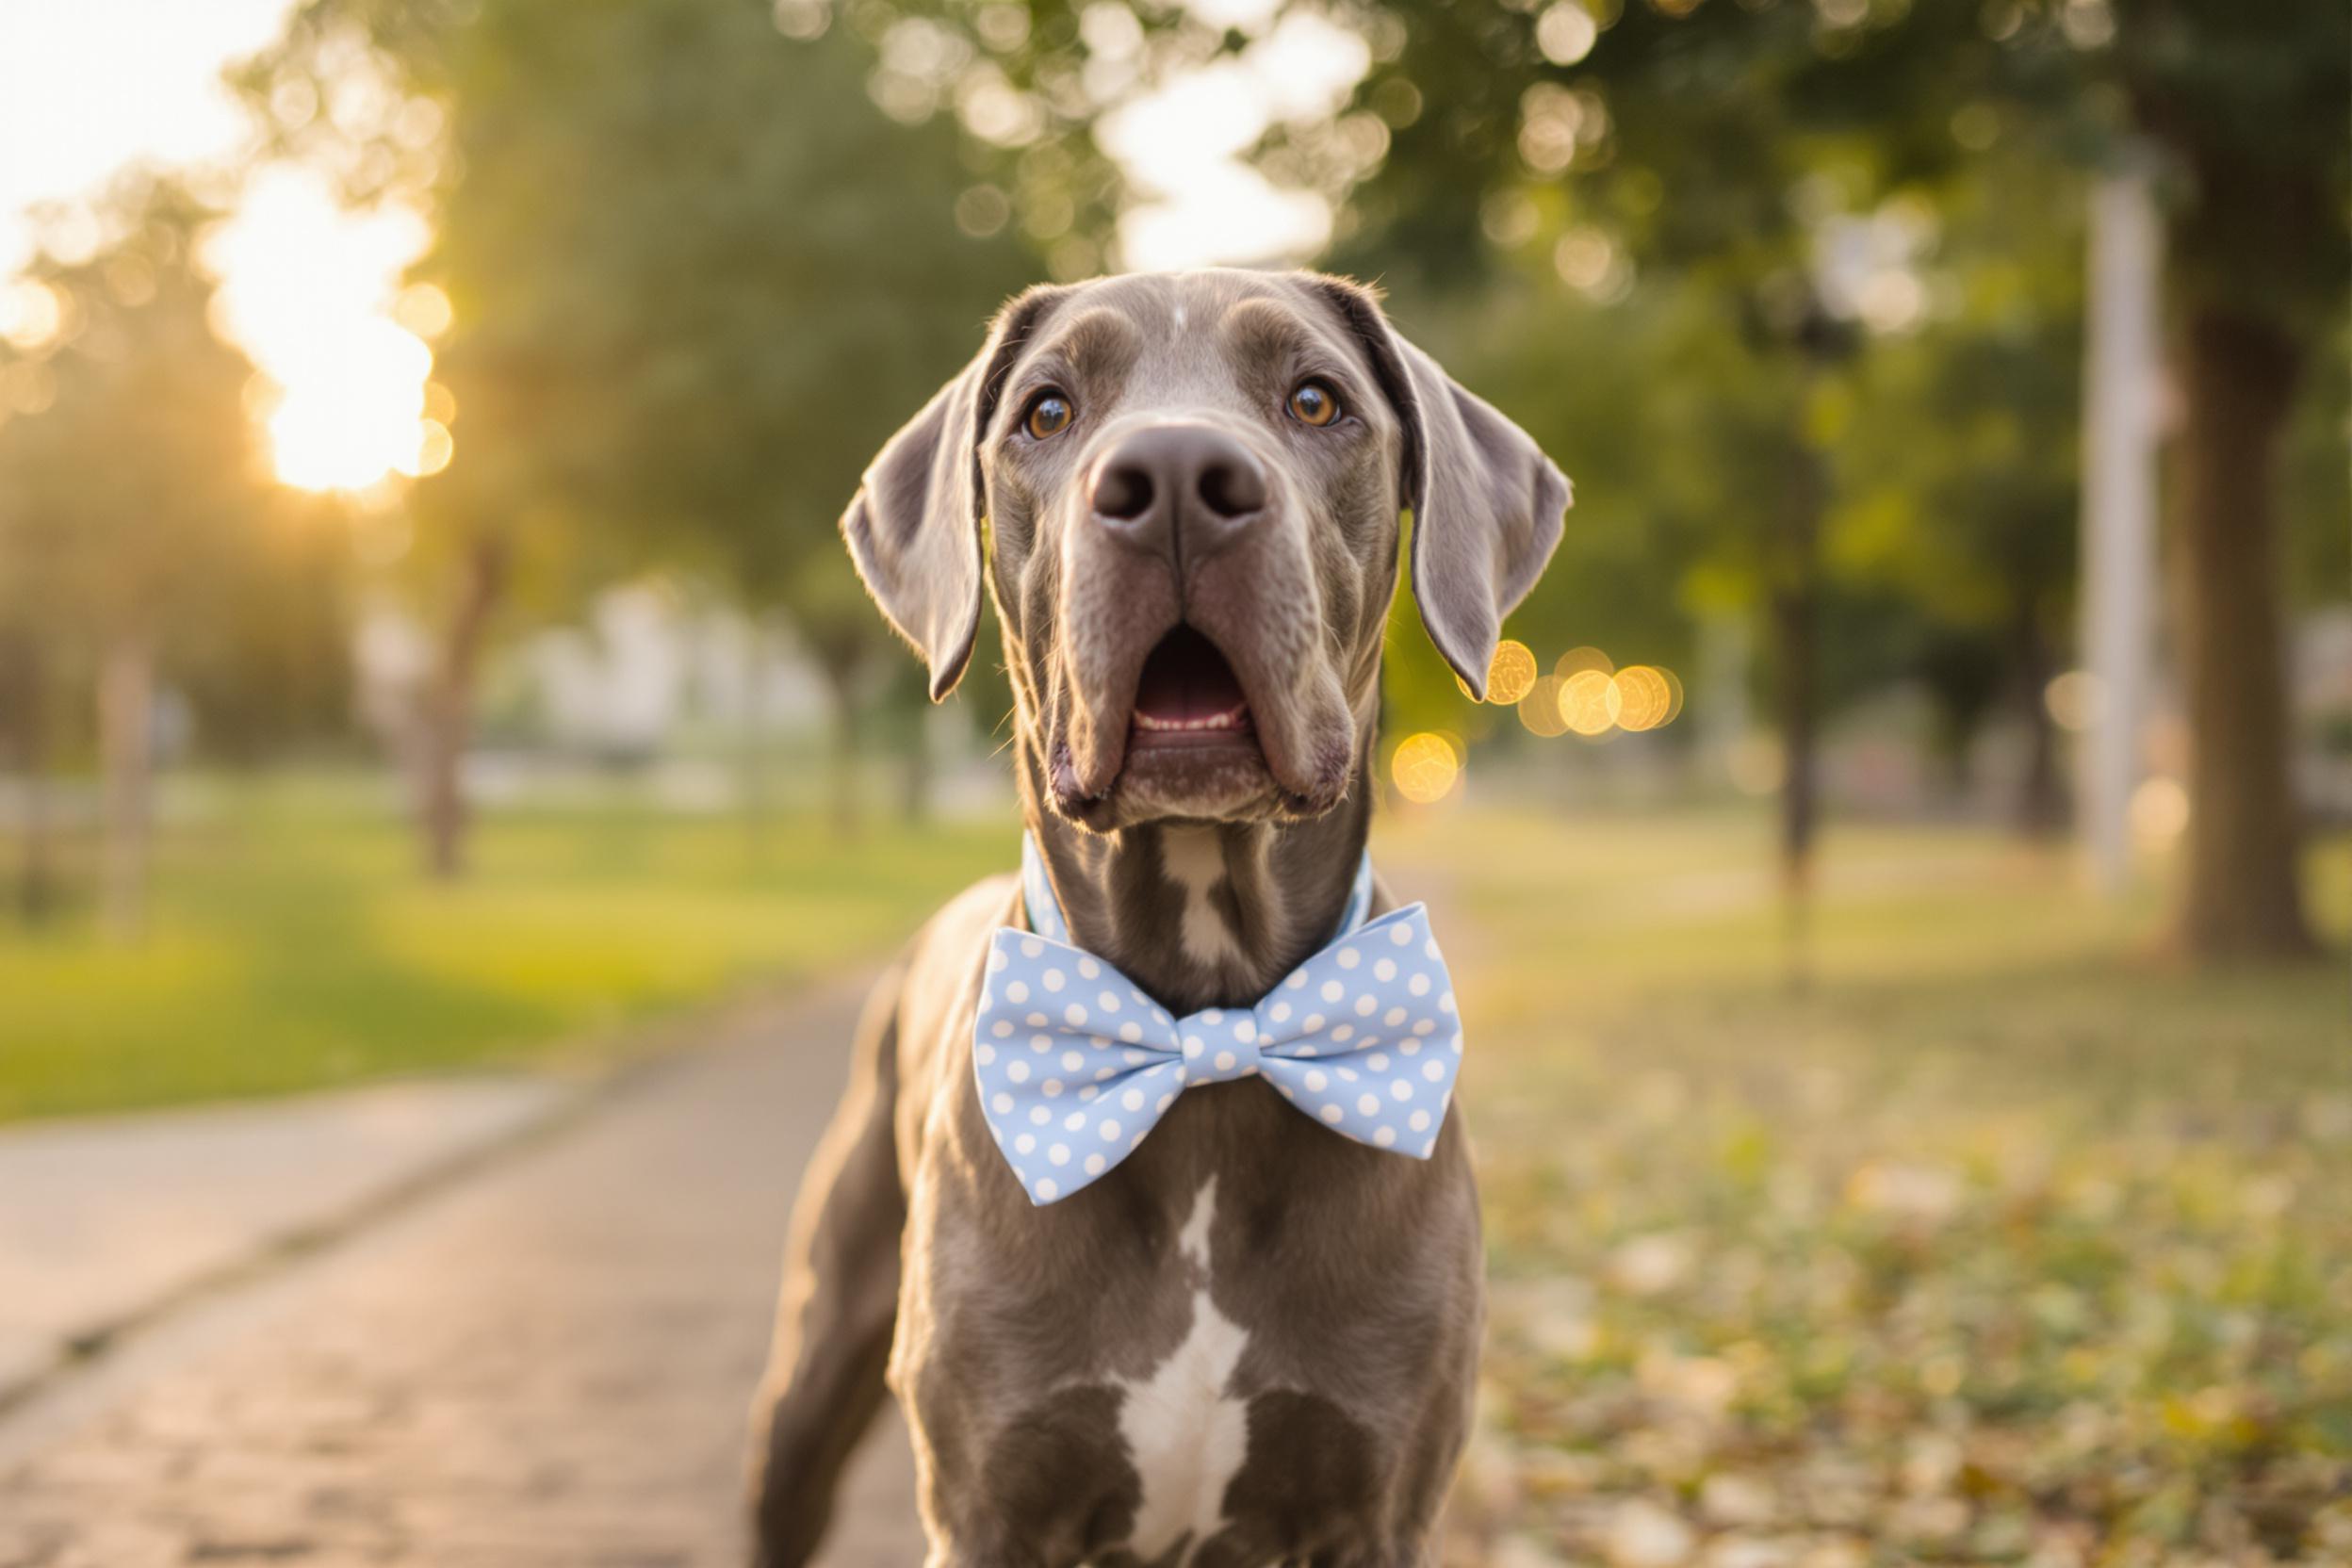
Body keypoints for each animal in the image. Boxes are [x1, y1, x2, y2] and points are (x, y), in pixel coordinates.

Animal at [747, 270, 1561, 1568]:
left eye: (1317, 398)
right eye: (1045, 410)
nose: (1175, 473)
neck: (1204, 1032)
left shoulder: (1377, 1497)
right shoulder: (988, 1503)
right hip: (815, 1363)